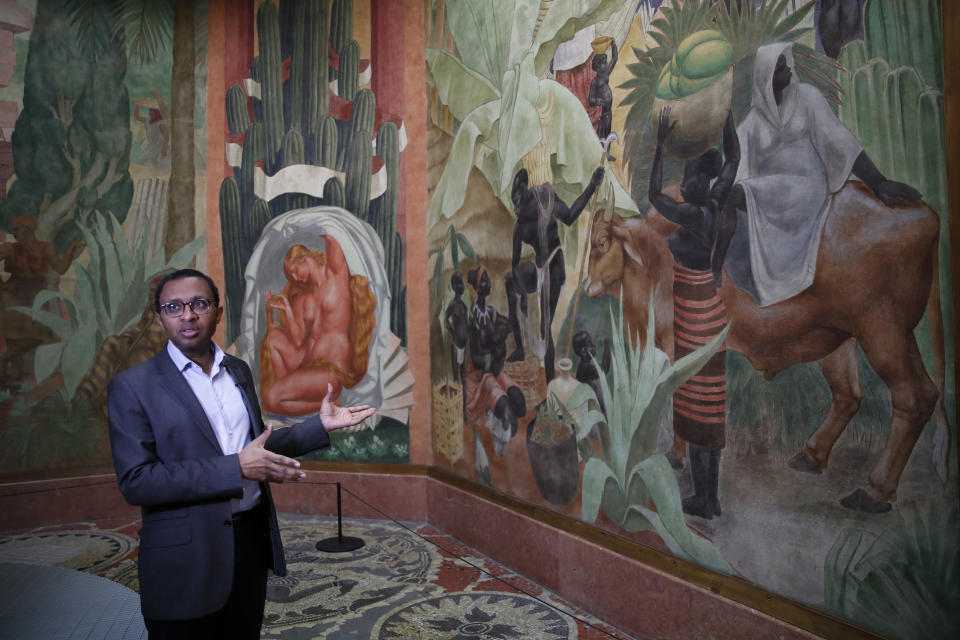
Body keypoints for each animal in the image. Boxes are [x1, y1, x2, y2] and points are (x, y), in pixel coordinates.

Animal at [584, 180, 952, 510]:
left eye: (602, 241)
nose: (586, 285)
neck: (654, 260)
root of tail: (927, 214)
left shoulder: (679, 345)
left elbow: (676, 396)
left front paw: (674, 455)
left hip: (883, 333)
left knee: (912, 399)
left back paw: (875, 490)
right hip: (848, 336)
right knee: (857, 394)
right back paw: (812, 455)